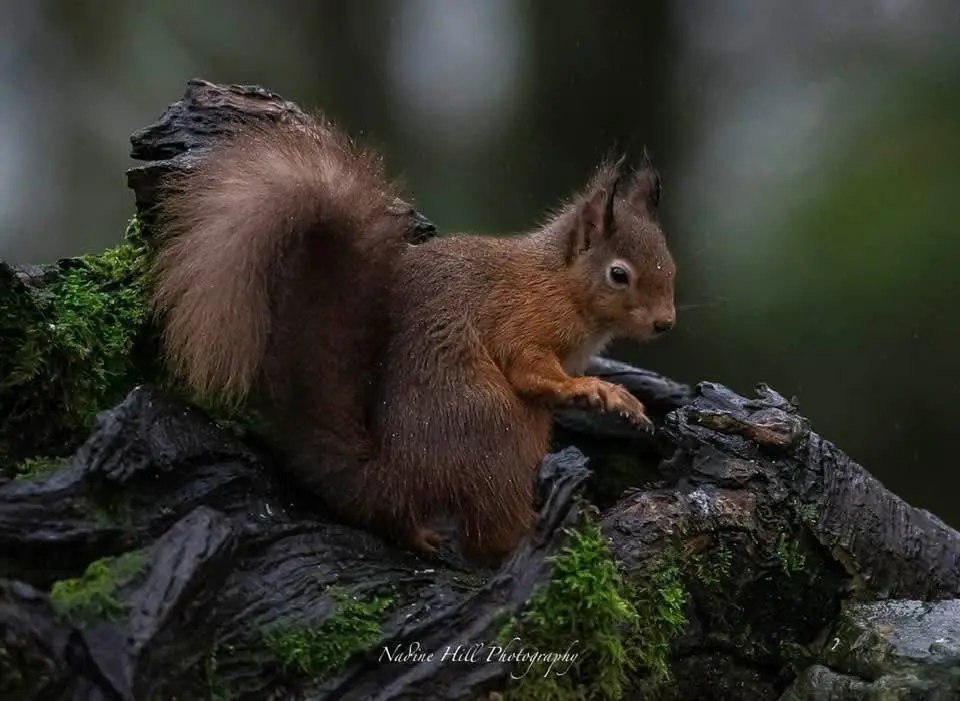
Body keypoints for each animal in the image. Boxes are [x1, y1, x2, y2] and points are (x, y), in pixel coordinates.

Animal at [149, 111, 676, 562]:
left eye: (669, 263)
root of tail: (392, 480)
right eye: (618, 275)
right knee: (489, 534)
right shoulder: (522, 319)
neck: (560, 283)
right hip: (497, 429)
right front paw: (600, 392)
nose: (665, 323)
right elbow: (530, 370)